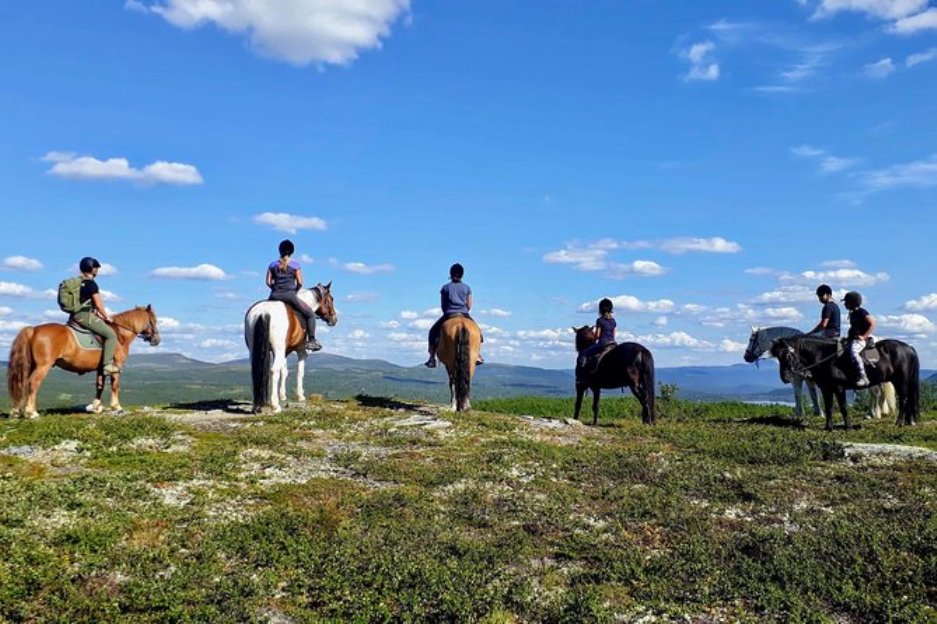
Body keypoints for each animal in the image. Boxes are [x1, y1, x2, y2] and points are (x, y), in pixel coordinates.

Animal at [6, 306, 159, 420]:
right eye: (153, 320)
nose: (157, 340)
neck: (120, 334)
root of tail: (33, 330)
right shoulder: (116, 365)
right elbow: (115, 386)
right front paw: (117, 407)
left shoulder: (101, 368)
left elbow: (99, 386)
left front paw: (96, 407)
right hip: (43, 366)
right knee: (33, 383)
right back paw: (31, 412)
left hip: (31, 365)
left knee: (22, 383)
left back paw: (16, 411)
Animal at [243, 284, 338, 414]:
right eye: (331, 299)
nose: (334, 319)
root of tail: (263, 312)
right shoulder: (301, 351)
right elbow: (299, 371)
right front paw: (300, 396)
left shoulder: (284, 352)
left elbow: (284, 372)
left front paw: (283, 396)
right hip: (278, 349)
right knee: (274, 371)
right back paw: (275, 406)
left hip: (254, 350)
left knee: (256, 370)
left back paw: (256, 406)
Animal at [772, 334, 916, 432]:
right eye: (777, 356)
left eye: (787, 355)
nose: (785, 378)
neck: (825, 355)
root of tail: (909, 348)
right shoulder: (826, 388)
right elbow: (829, 407)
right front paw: (828, 427)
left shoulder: (839, 388)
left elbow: (843, 407)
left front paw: (848, 426)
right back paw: (907, 421)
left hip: (901, 381)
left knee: (902, 399)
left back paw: (898, 422)